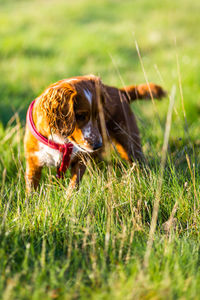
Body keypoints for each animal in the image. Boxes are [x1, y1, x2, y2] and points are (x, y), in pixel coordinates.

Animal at [23, 75, 166, 192]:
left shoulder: (81, 159)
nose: (98, 145)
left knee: (139, 162)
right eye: (80, 116)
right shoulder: (33, 162)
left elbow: (73, 186)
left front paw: (68, 202)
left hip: (129, 143)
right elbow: (31, 189)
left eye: (98, 116)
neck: (60, 140)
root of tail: (120, 91)